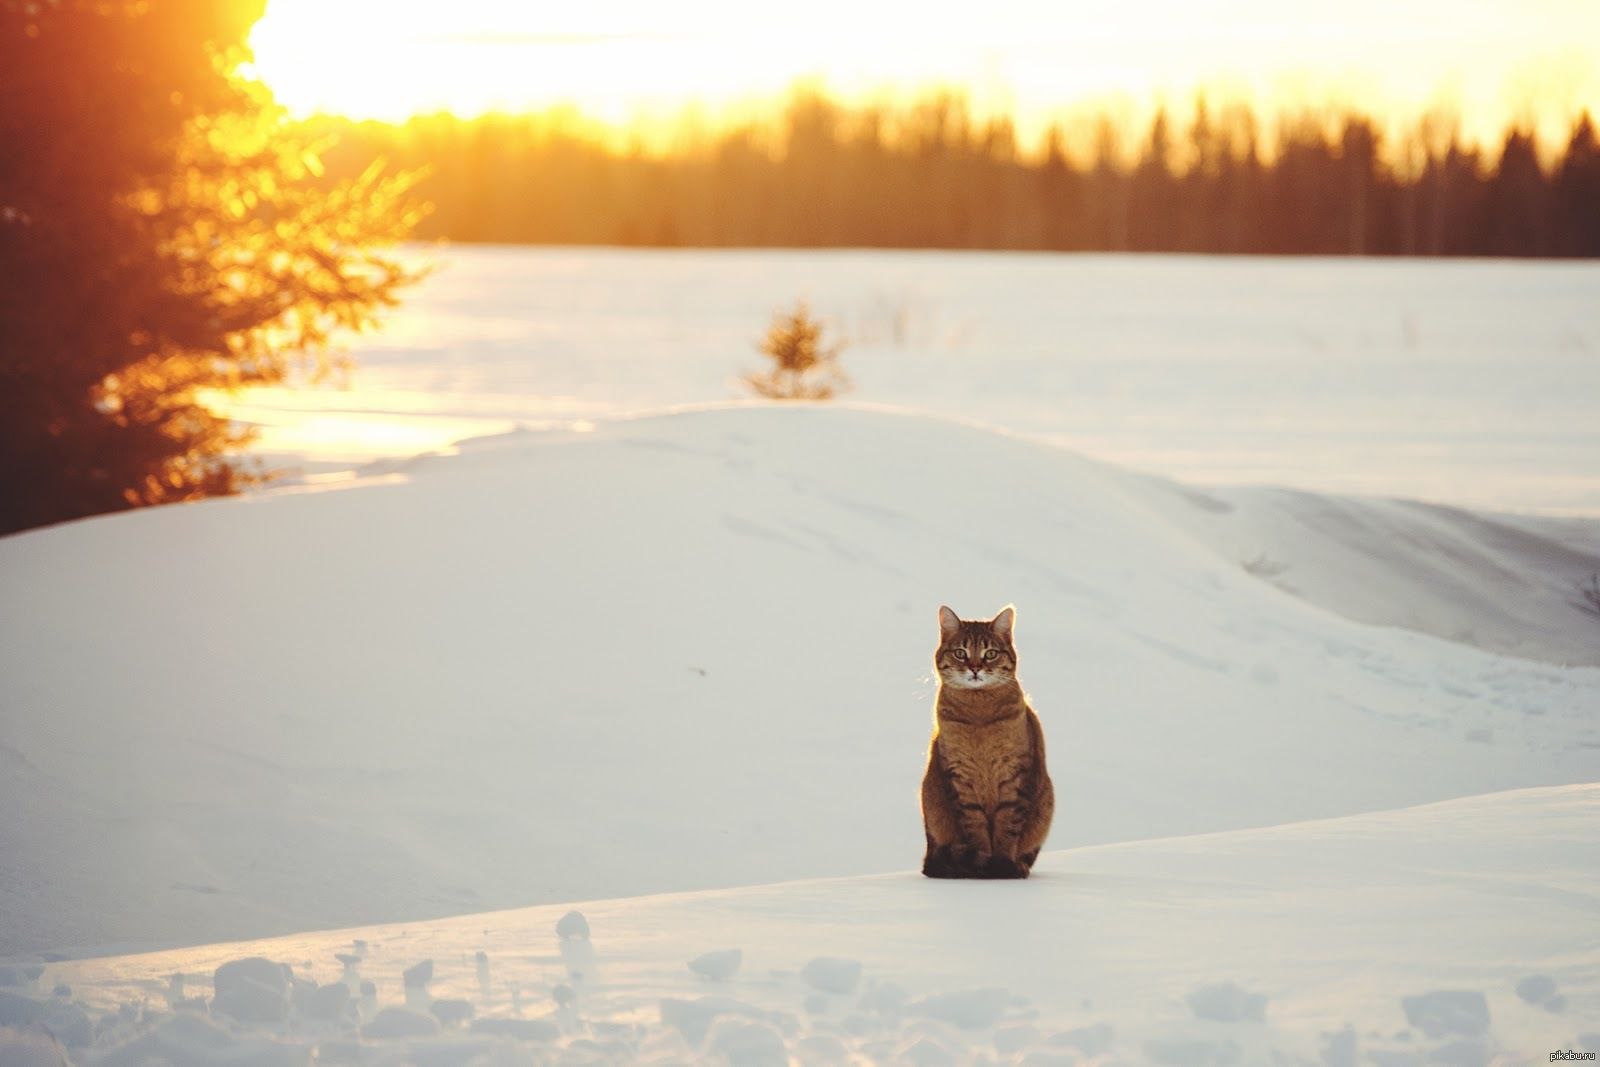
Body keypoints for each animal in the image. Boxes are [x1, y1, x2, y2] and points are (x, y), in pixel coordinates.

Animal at [921, 604, 1056, 883]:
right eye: (961, 653)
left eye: (990, 653)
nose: (975, 667)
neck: (979, 716)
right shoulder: (960, 778)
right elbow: (976, 830)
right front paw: (985, 865)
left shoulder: (1015, 774)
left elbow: (1007, 825)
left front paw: (1003, 865)